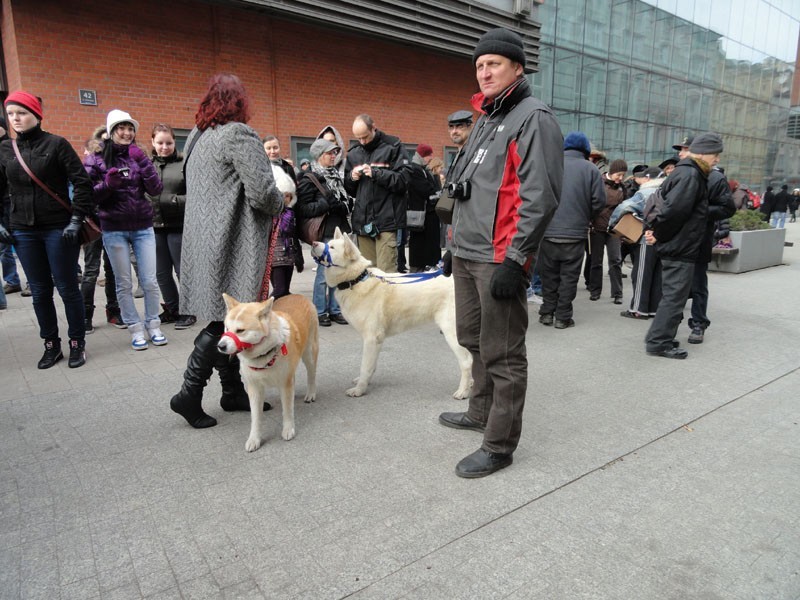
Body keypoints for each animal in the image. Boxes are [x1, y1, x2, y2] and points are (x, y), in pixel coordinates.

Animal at [310, 227, 472, 400]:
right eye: (328, 243)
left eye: (332, 248)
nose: (313, 243)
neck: (356, 279)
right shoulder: (377, 341)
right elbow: (371, 366)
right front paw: (364, 382)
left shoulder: (370, 338)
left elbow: (365, 366)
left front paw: (360, 389)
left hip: (451, 333)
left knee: (467, 362)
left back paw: (463, 391)